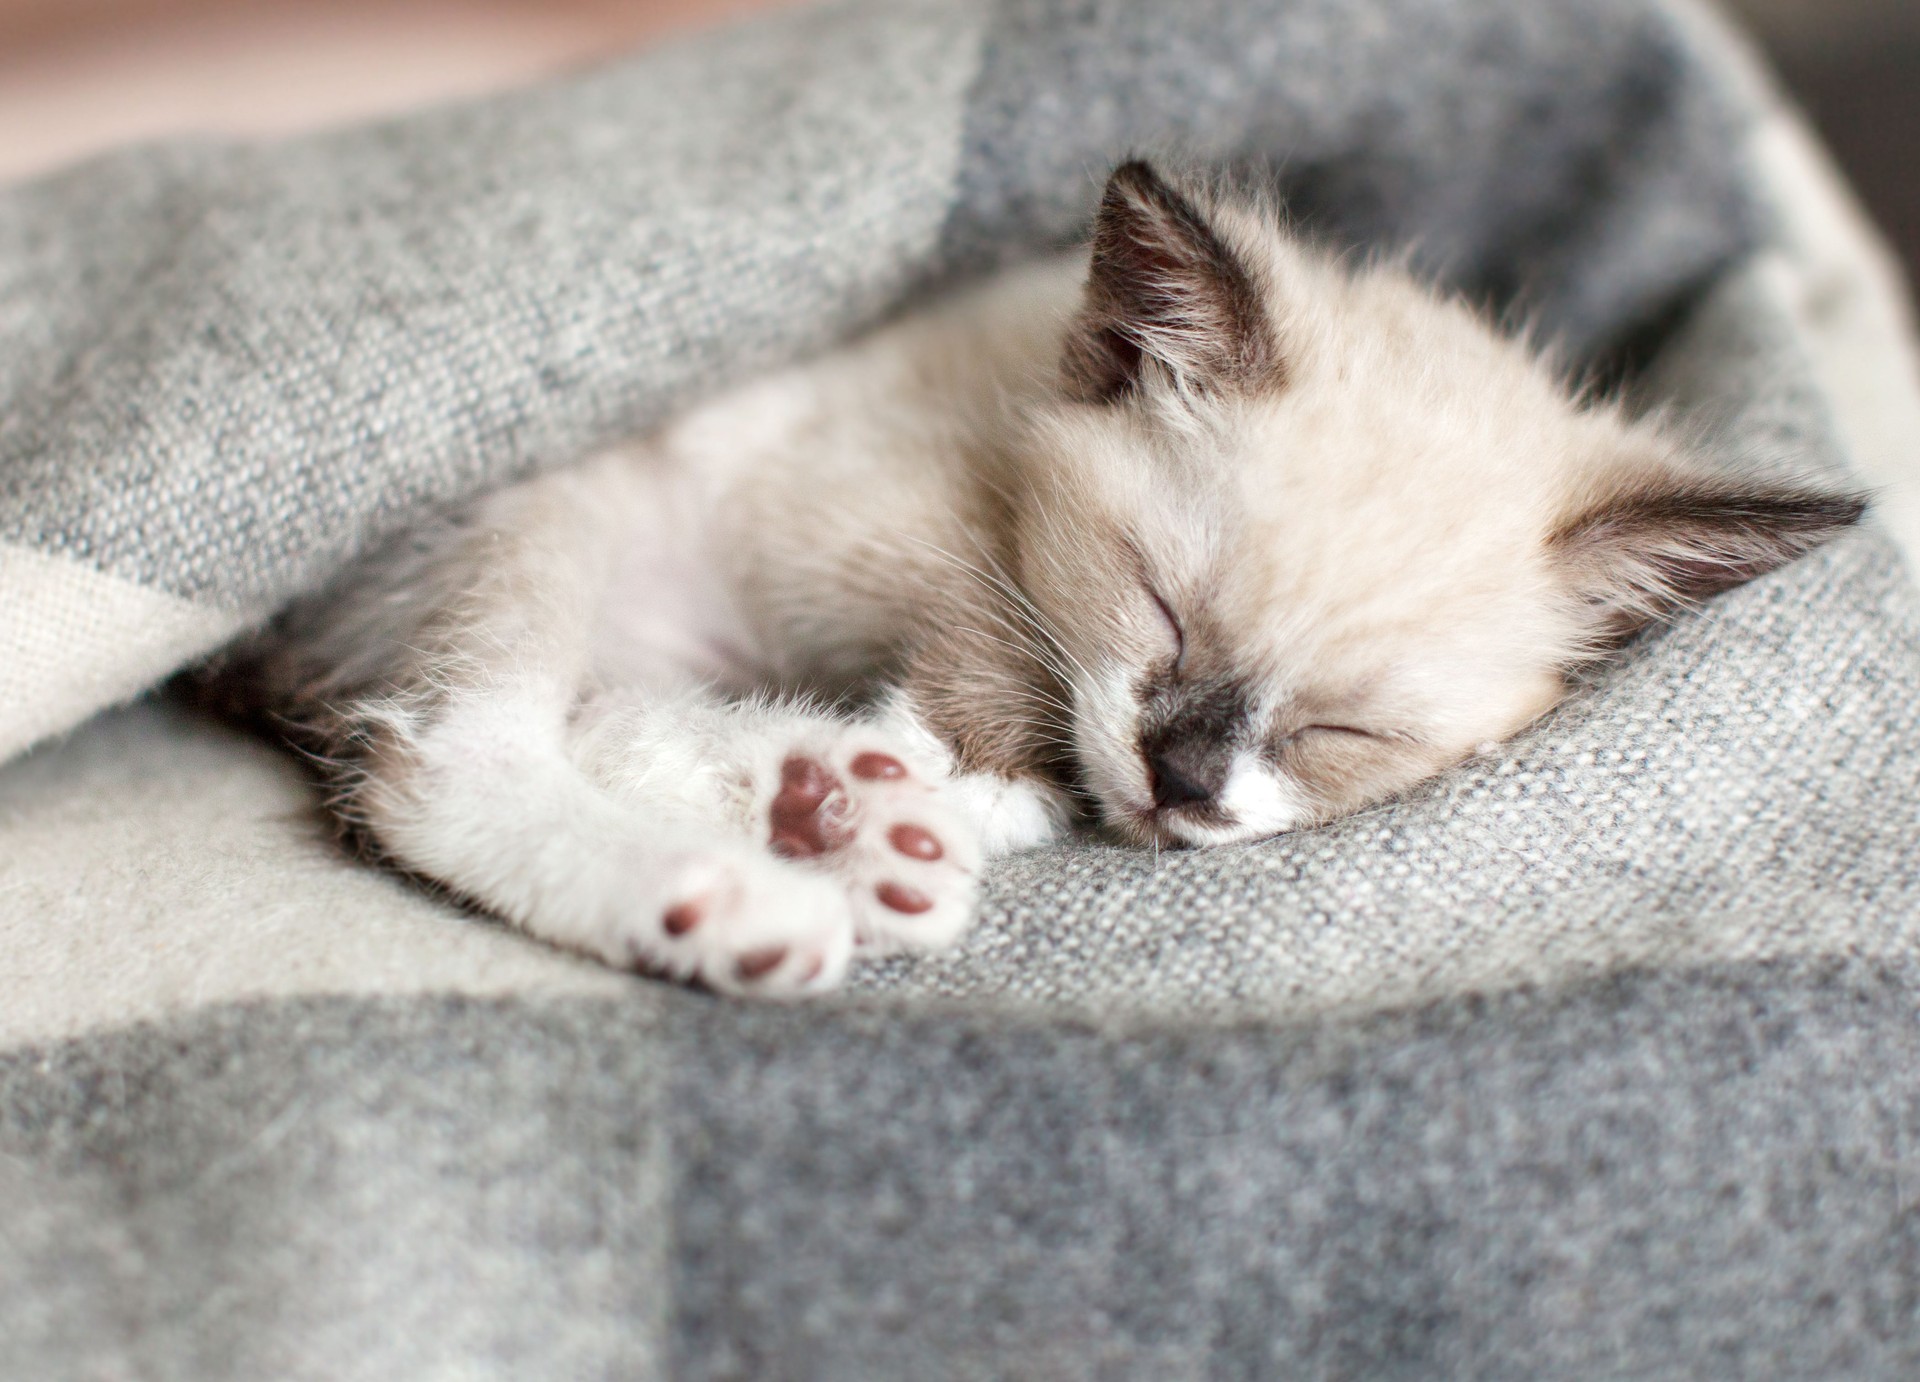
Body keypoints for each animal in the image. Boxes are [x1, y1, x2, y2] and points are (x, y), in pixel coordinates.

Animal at [220, 165, 1858, 990]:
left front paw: (913, 805)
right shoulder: (850, 500)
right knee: (443, 761)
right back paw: (748, 892)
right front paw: (990, 785)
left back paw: (839, 818)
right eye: (1161, 608)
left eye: (1343, 732)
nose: (1184, 782)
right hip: (541, 516)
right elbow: (993, 640)